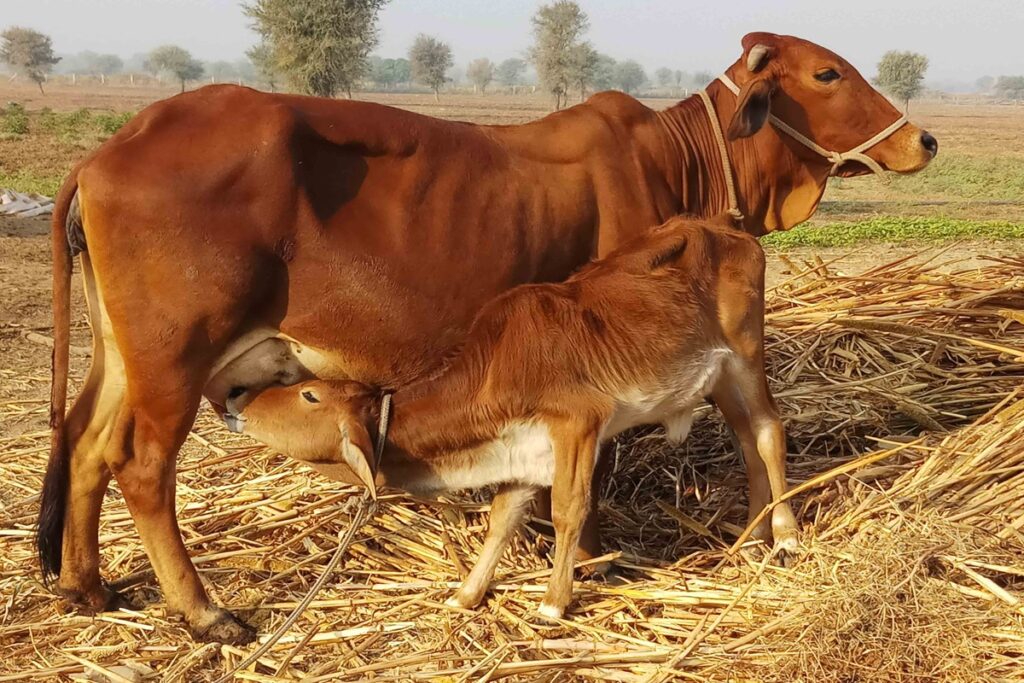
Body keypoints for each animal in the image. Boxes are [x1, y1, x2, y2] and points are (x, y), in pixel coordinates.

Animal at [224, 216, 788, 620]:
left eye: (309, 395)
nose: (240, 402)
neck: (491, 374)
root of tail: (722, 227)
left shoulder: (579, 423)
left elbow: (567, 510)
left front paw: (555, 601)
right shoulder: (524, 451)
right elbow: (501, 521)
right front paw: (468, 593)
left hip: (744, 356)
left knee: (768, 431)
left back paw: (784, 533)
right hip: (717, 377)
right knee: (746, 441)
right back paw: (752, 535)